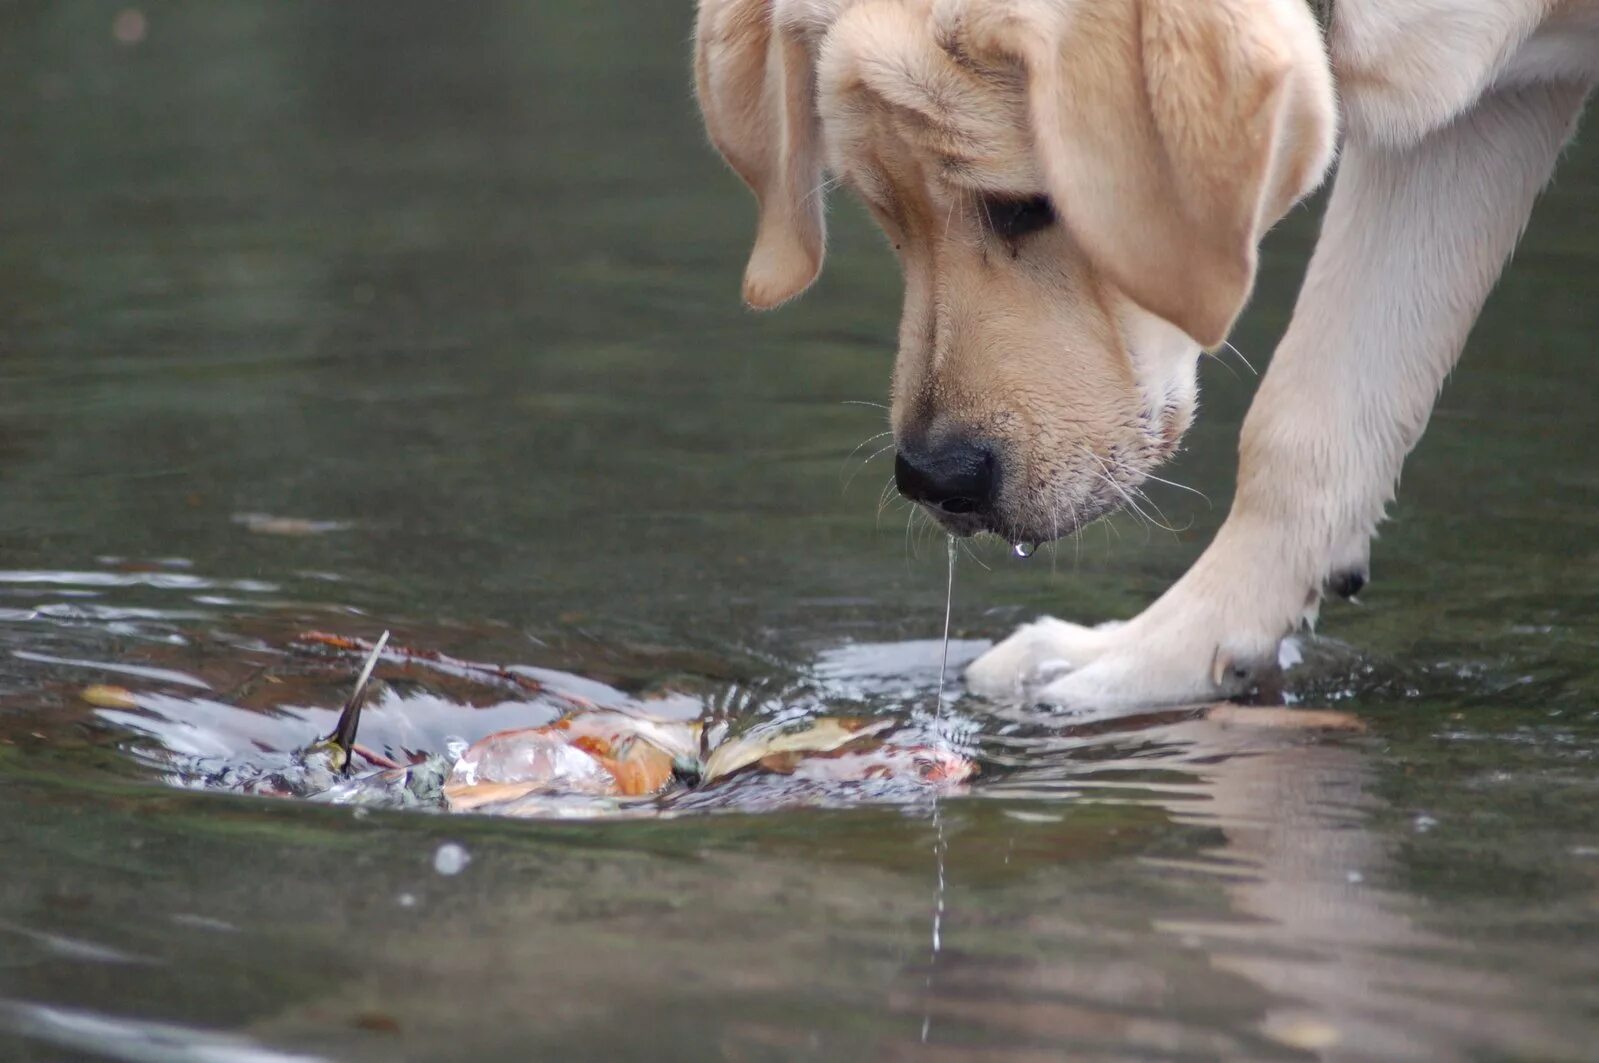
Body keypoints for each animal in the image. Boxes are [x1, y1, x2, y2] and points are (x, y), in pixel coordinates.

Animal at [697, 2, 1599, 712]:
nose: (934, 479)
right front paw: (1163, 651)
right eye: (883, 214)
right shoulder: (1474, 117)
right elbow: (1307, 419)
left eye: (1027, 206)